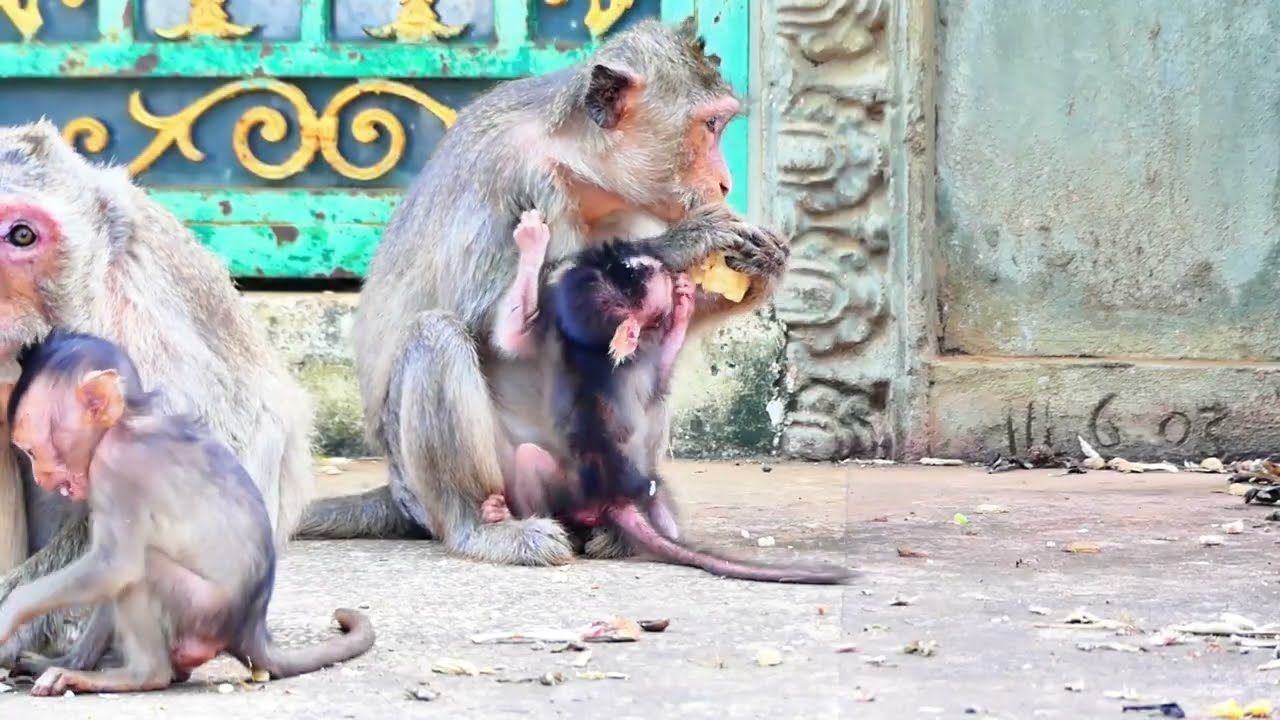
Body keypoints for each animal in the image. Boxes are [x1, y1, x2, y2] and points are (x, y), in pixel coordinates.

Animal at [0, 330, 374, 695]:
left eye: (31, 450)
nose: (40, 476)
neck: (126, 423)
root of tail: (251, 627)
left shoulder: (117, 469)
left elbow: (115, 566)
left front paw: (9, 613)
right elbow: (109, 574)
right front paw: (67, 659)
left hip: (205, 612)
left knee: (146, 569)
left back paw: (141, 675)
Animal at [295, 17, 793, 569]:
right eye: (709, 126)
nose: (725, 184)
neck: (576, 164)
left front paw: (764, 265)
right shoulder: (510, 175)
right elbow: (489, 319)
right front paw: (684, 241)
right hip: (491, 477)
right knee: (435, 335)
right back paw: (480, 526)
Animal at [480, 211, 851, 584]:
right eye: (642, 271)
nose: (665, 267)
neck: (591, 348)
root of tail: (612, 497)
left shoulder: (557, 328)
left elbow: (515, 335)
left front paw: (532, 240)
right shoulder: (639, 358)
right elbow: (660, 379)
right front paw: (683, 304)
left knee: (529, 458)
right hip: (619, 488)